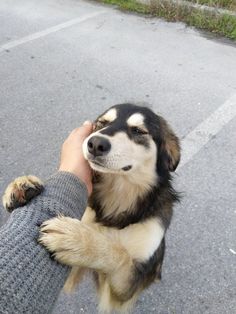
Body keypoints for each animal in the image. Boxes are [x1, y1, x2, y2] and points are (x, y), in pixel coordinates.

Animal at [2, 102, 181, 312]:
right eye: (102, 123)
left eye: (138, 130)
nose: (95, 143)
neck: (118, 195)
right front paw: (21, 184)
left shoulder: (128, 287)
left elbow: (119, 253)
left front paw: (76, 240)